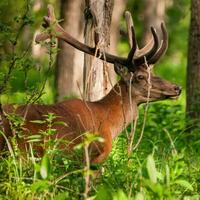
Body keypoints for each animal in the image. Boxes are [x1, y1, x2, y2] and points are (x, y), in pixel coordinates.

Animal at [0, 5, 181, 164]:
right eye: (140, 76)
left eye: (153, 73)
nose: (177, 88)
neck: (109, 122)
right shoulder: (95, 154)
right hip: (24, 151)